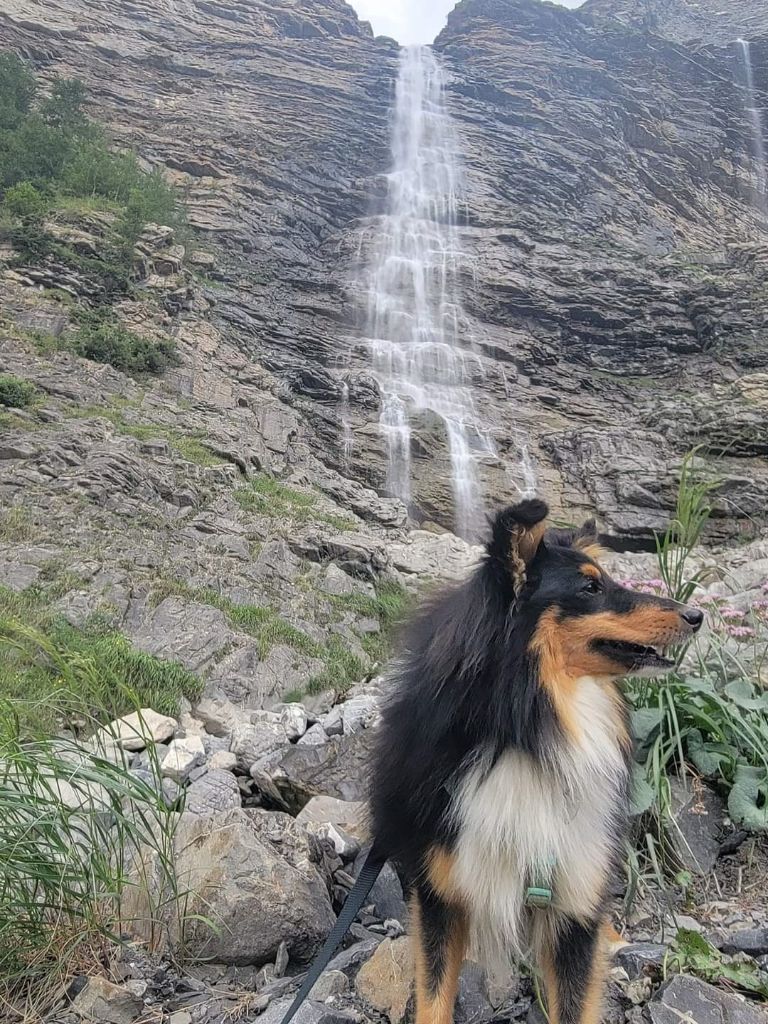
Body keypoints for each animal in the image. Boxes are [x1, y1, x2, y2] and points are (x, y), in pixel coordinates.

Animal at [370, 501, 704, 1024]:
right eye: (590, 588)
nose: (697, 614)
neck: (529, 730)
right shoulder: (440, 893)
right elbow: (434, 997)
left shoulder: (574, 903)